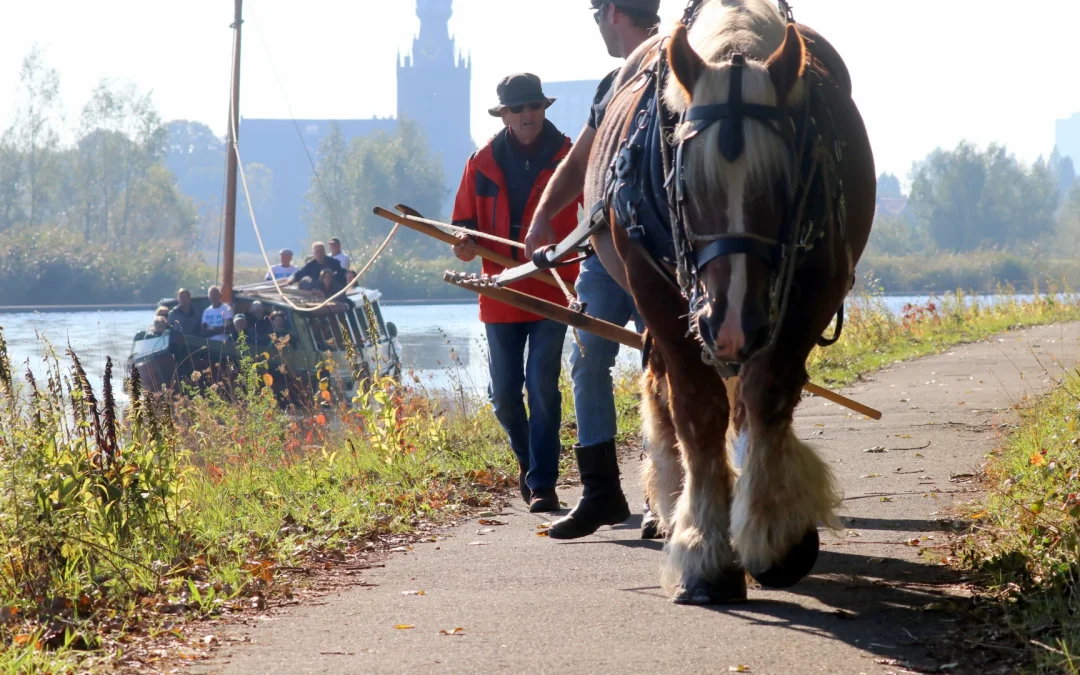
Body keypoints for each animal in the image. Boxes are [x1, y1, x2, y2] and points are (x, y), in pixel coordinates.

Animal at [587, 0, 872, 600]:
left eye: (782, 186)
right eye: (687, 187)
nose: (734, 325)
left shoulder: (813, 286)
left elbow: (767, 396)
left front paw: (772, 532)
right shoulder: (658, 291)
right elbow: (698, 410)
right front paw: (703, 548)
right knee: (664, 389)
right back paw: (669, 504)